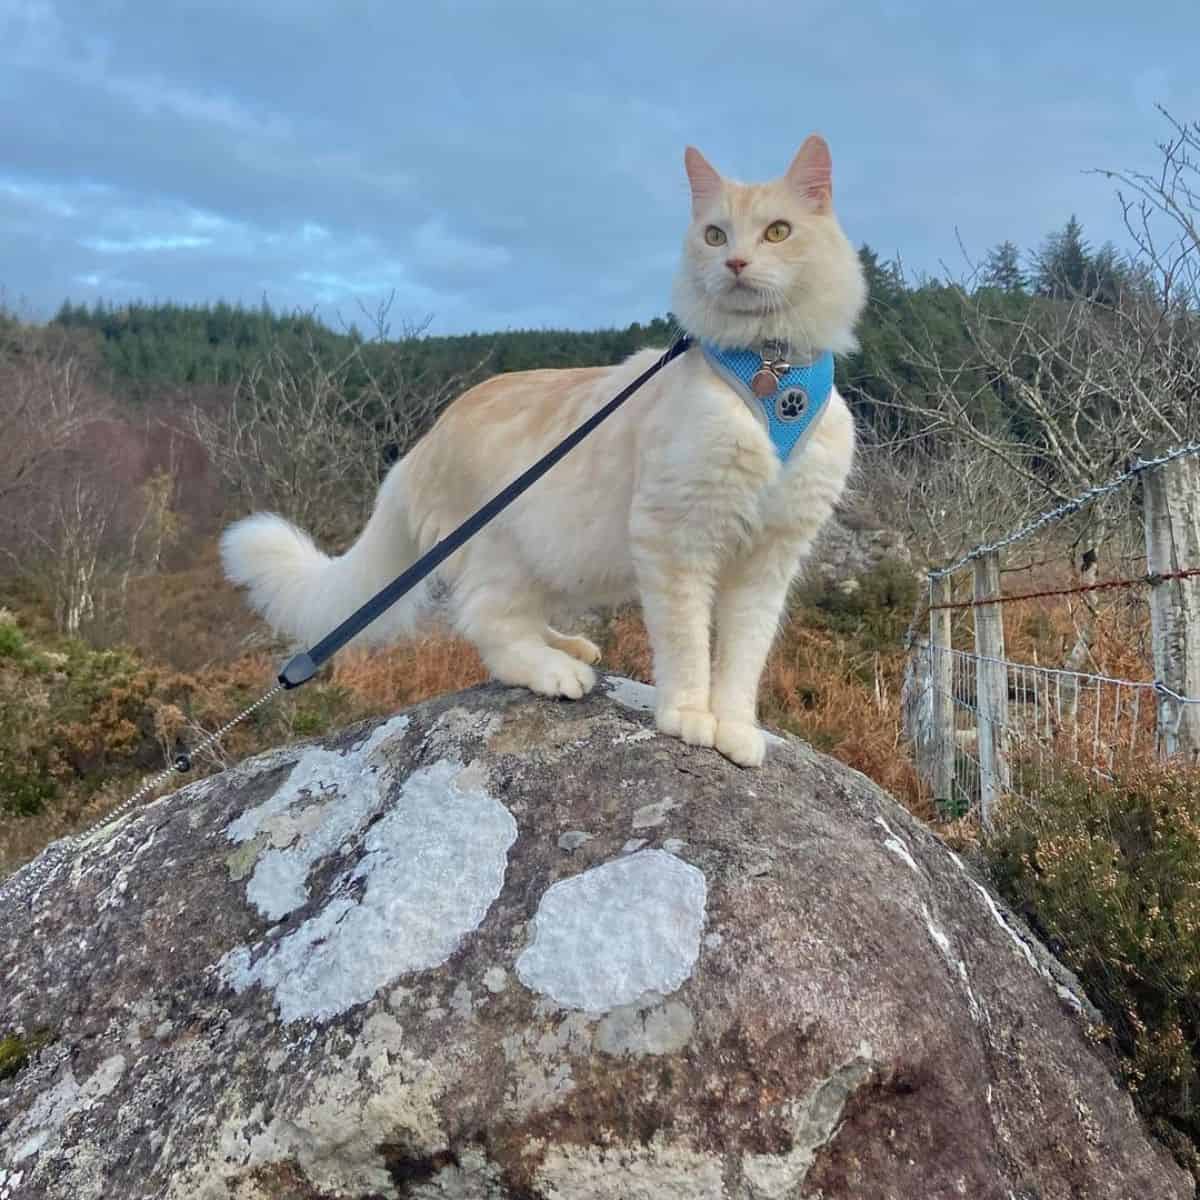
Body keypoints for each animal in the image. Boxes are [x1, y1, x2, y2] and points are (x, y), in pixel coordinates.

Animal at [223, 133, 864, 768]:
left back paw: (570, 647)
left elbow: (742, 657)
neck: (770, 373)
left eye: (777, 232)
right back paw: (555, 671)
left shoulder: (769, 560)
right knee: (487, 624)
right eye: (714, 235)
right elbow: (686, 645)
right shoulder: (678, 539)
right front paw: (687, 716)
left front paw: (734, 727)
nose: (735, 263)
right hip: (506, 552)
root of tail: (418, 448)